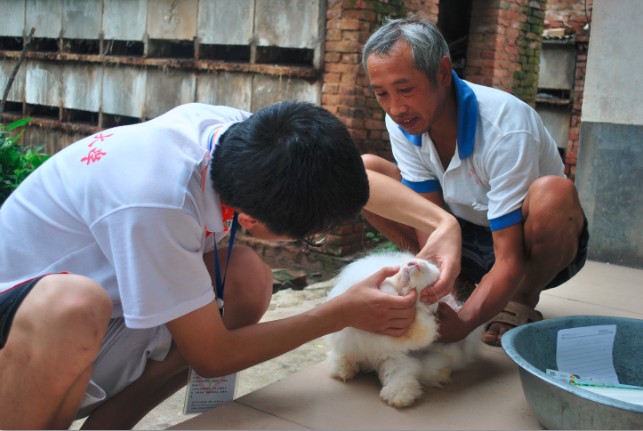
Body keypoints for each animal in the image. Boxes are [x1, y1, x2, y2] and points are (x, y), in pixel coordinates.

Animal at [328, 251, 484, 406]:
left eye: (431, 286)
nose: (415, 264)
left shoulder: (394, 357)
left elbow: (398, 374)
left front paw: (399, 398)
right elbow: (386, 287)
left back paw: (442, 373)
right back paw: (342, 370)